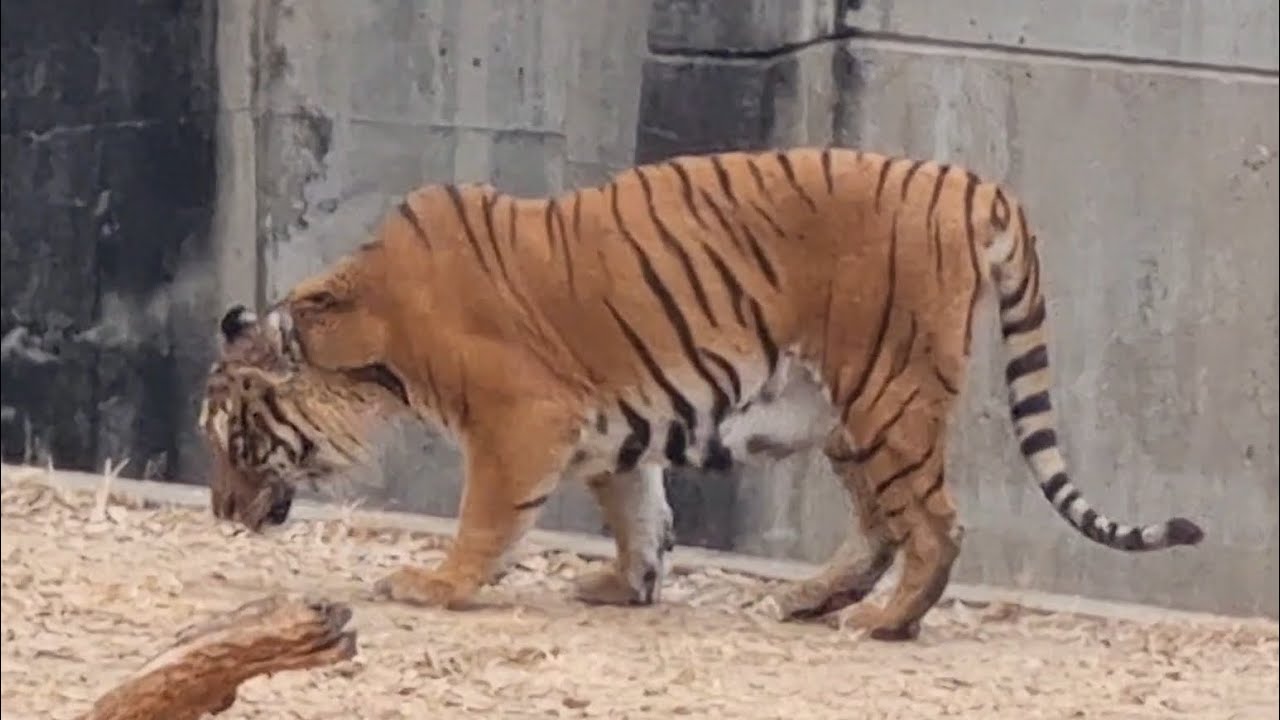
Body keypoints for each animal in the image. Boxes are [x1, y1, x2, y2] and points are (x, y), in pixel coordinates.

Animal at [242, 146, 1205, 640]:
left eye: (232, 432)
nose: (224, 509)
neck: (367, 327)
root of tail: (976, 184)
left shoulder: (522, 423)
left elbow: (488, 519)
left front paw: (434, 586)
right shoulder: (610, 428)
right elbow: (638, 512)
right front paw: (623, 586)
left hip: (885, 390)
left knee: (934, 525)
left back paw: (882, 621)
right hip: (847, 410)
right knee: (885, 522)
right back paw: (813, 600)